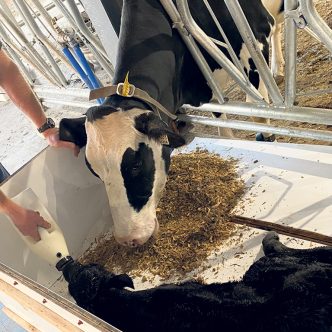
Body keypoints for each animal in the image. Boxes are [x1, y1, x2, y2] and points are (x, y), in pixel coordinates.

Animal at [61, 0, 278, 246]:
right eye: (95, 172)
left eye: (136, 164)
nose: (128, 238)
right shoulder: (210, 92)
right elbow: (223, 128)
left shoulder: (256, 40)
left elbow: (259, 115)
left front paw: (270, 139)